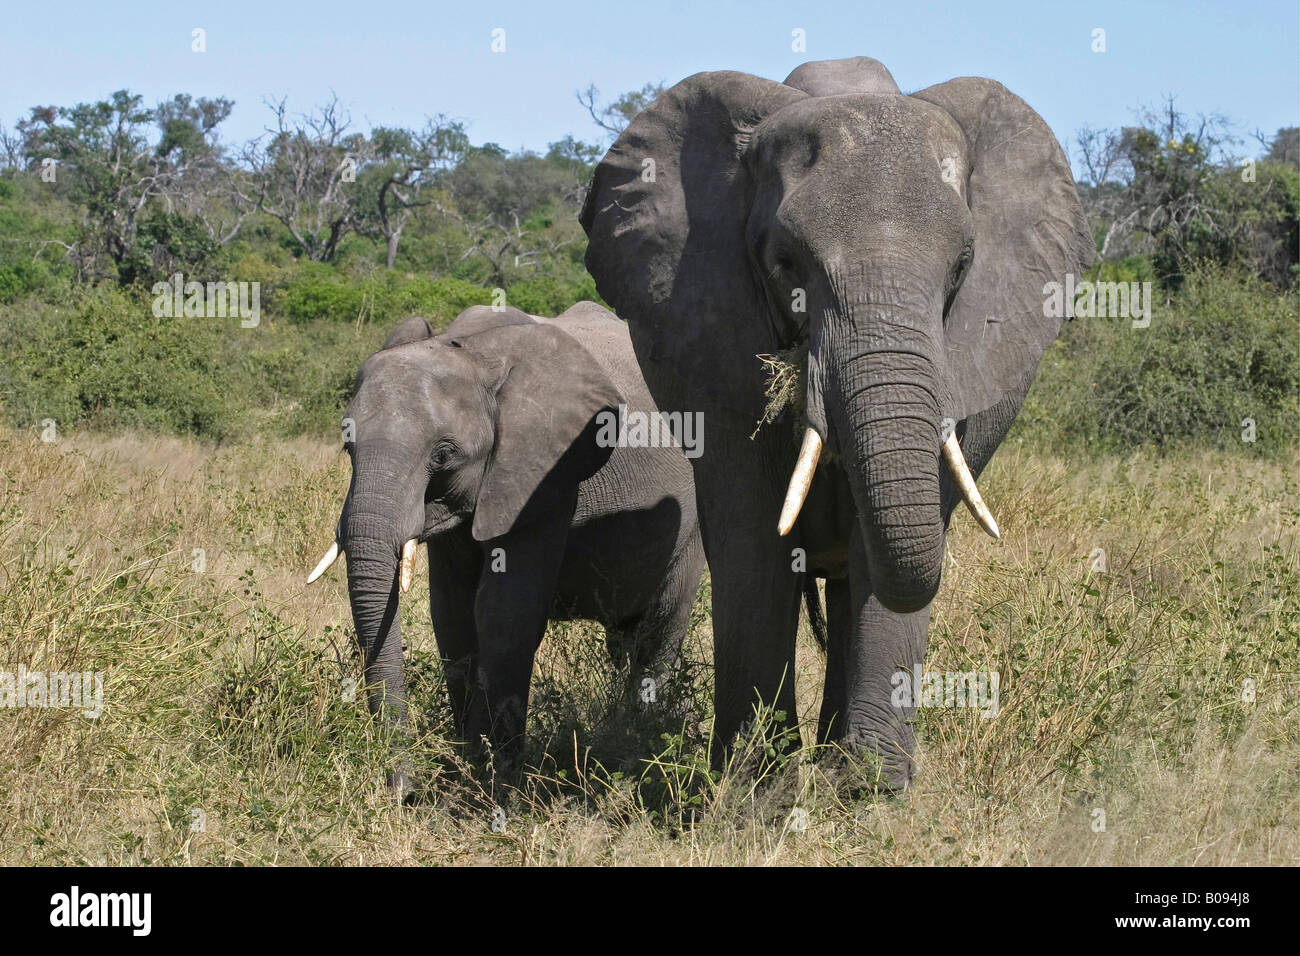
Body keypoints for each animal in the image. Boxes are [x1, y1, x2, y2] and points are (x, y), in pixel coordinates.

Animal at [309, 300, 707, 785]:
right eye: (348, 447)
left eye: (443, 455)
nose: (405, 787)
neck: (472, 354)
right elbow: (452, 614)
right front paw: (466, 757)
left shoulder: (545, 474)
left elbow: (504, 613)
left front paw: (492, 772)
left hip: (693, 522)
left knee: (661, 627)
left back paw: (644, 740)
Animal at [582, 55, 1097, 790]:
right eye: (785, 262)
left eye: (962, 268)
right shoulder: (711, 343)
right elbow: (753, 542)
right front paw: (754, 791)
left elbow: (882, 550)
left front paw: (870, 792)